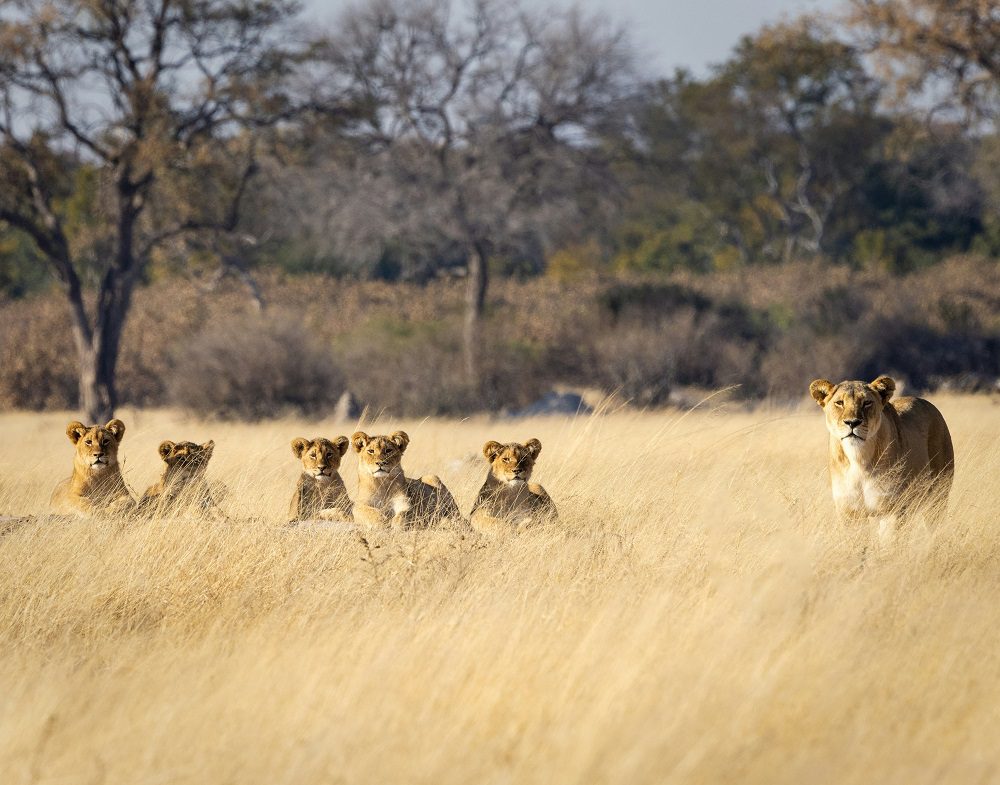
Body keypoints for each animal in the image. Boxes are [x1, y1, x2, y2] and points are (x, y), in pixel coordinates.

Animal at [809, 375, 954, 533]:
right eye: (839, 403)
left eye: (867, 403)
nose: (852, 423)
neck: (858, 458)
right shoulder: (849, 514)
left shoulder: (891, 510)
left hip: (938, 496)